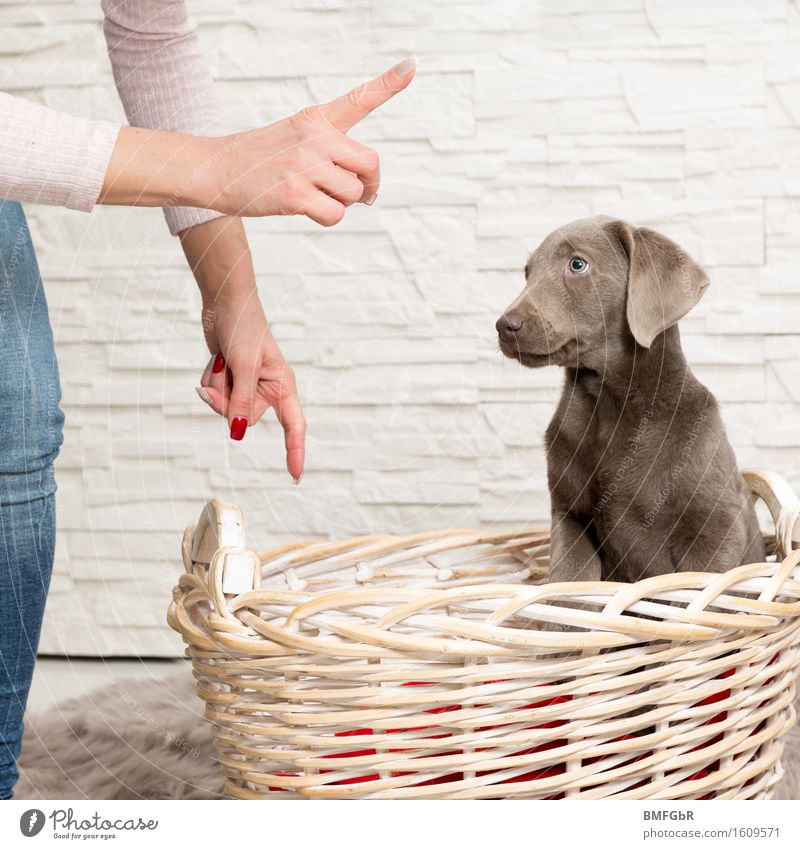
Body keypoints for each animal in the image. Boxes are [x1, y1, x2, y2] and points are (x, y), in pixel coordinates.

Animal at [496, 215, 764, 588]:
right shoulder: (569, 514)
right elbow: (571, 576)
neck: (608, 404)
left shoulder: (717, 525)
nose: (504, 325)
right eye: (527, 272)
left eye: (577, 264)